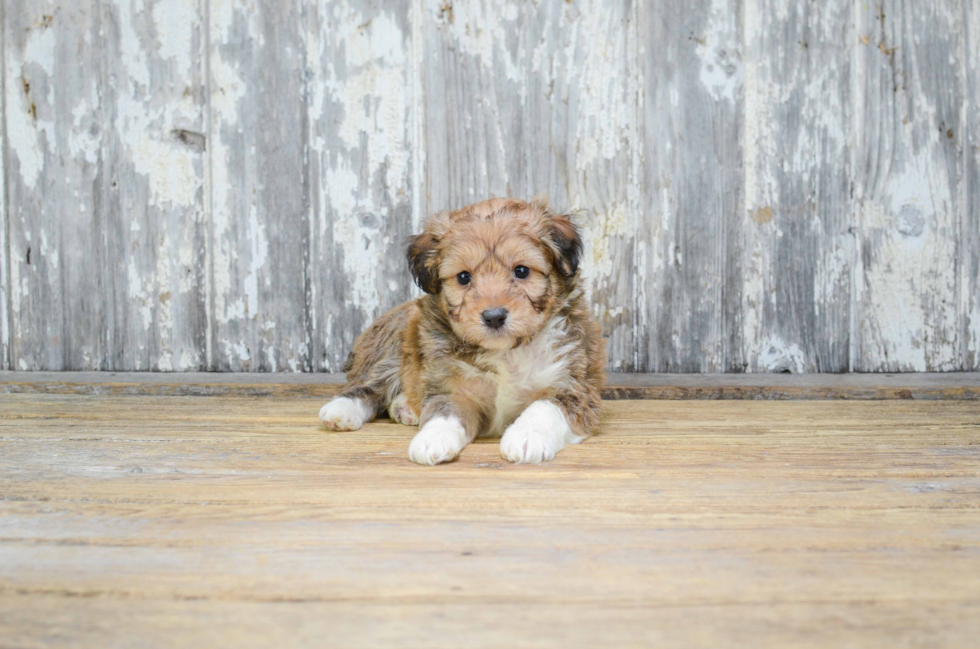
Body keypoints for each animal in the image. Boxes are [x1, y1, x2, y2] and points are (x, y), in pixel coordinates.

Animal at [318, 195, 604, 464]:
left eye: (521, 271)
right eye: (464, 277)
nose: (494, 317)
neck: (506, 352)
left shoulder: (572, 384)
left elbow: (545, 407)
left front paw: (526, 436)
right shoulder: (450, 385)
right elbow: (444, 411)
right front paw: (432, 438)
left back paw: (404, 407)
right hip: (391, 345)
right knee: (368, 386)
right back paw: (341, 410)